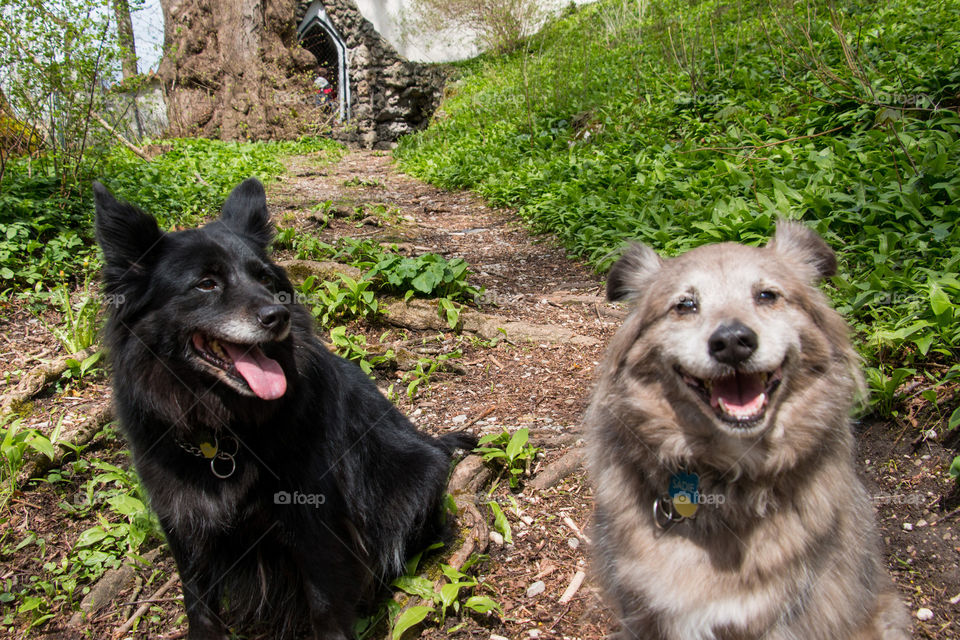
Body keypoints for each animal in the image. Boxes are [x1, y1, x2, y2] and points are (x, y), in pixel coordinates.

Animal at [94, 179, 476, 640]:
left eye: (265, 278)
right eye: (206, 283)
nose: (277, 316)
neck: (223, 436)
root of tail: (431, 443)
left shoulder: (314, 521)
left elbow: (326, 606)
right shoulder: (183, 523)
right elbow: (199, 604)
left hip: (410, 478)